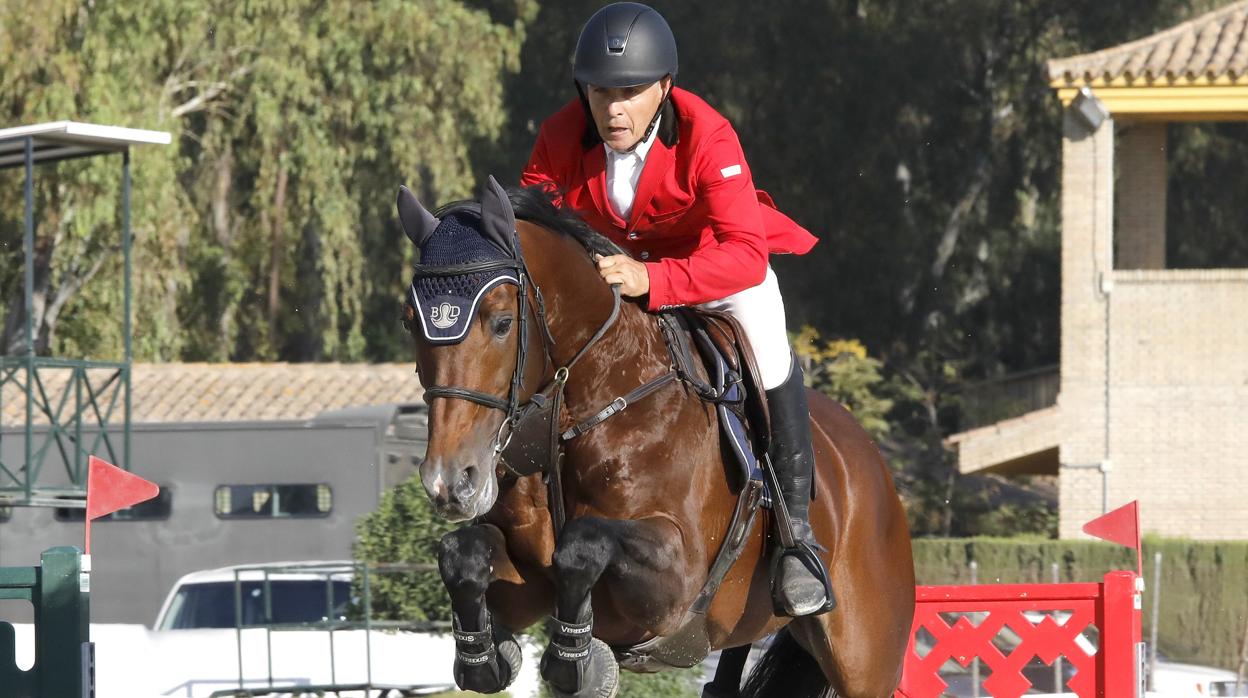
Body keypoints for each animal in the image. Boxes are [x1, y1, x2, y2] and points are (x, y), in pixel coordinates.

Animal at [399, 176, 918, 698]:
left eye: (502, 323)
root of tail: (873, 461)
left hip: (864, 658)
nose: (450, 482)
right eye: (409, 322)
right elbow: (461, 553)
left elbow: (582, 545)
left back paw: (800, 575)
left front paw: (576, 661)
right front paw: (488, 656)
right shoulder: (530, 579)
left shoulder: (675, 583)